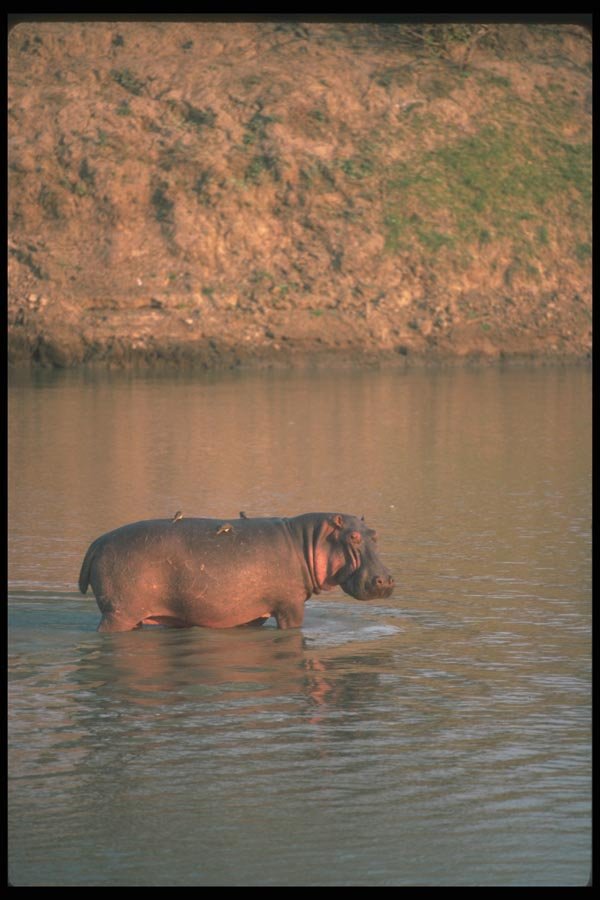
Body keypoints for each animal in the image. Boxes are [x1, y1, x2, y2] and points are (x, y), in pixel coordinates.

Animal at [78, 512, 394, 632]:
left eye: (374, 534)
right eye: (353, 537)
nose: (386, 579)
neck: (309, 540)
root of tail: (97, 542)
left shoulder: (249, 613)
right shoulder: (290, 605)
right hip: (119, 612)